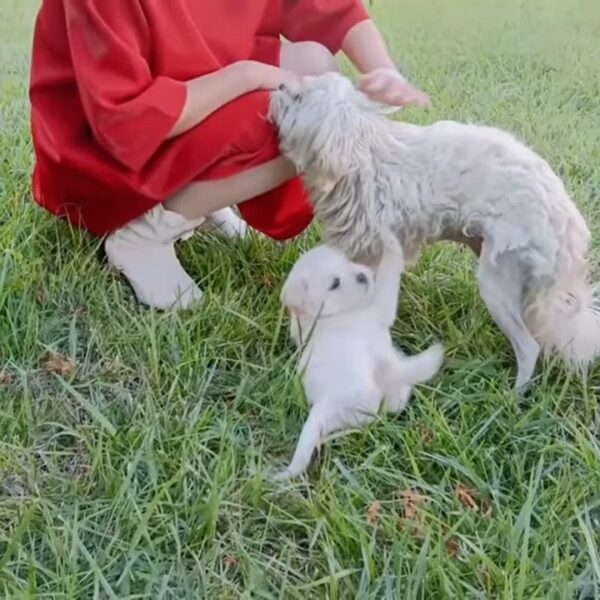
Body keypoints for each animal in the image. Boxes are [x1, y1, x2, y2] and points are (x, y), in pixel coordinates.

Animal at [270, 72, 600, 390]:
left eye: (299, 97)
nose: (279, 86)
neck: (361, 152)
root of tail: (566, 222)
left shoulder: (370, 251)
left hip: (497, 281)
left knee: (529, 347)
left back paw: (514, 396)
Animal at [276, 230, 440, 478]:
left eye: (348, 260)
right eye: (335, 283)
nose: (363, 275)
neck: (324, 316)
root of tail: (326, 402)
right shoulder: (381, 308)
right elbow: (389, 275)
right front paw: (389, 243)